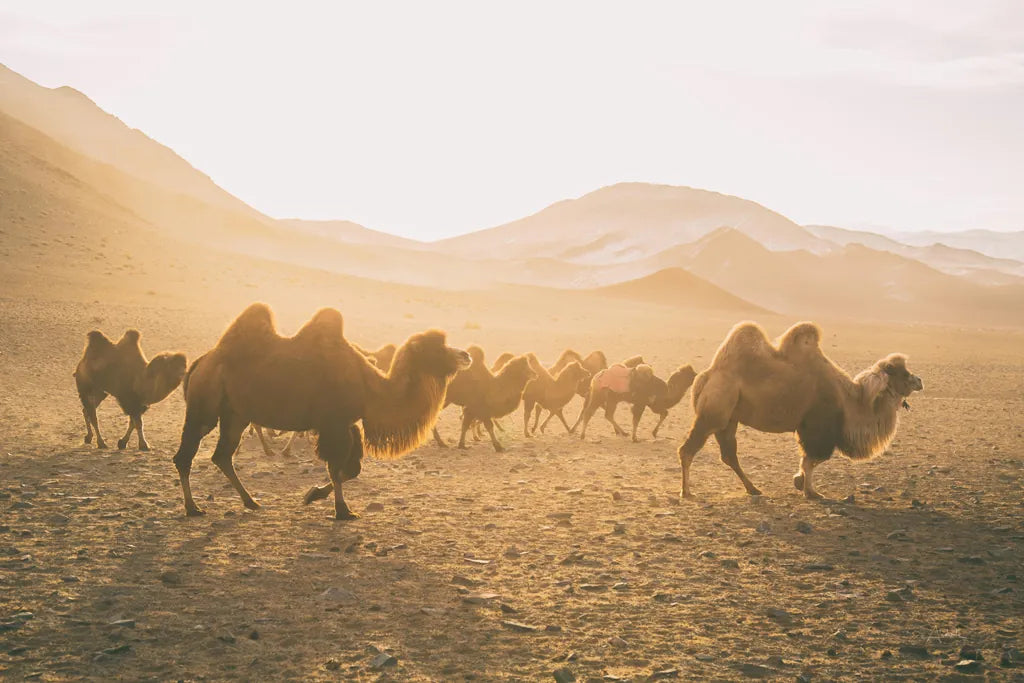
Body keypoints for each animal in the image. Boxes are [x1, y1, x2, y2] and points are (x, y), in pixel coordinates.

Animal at [173, 303, 470, 519]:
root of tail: (200, 362)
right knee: (186, 454)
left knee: (222, 455)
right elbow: (337, 468)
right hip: (205, 405)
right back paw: (193, 508)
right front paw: (342, 511)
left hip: (236, 414)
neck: (371, 388)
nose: (465, 355)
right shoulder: (334, 424)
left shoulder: (348, 425)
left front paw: (313, 494)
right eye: (438, 347)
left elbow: (351, 470)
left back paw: (251, 501)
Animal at [678, 321, 923, 500]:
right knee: (688, 450)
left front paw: (801, 483)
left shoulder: (812, 429)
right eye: (902, 372)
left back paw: (753, 489)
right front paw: (808, 489)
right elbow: (813, 459)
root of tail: (706, 376)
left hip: (730, 419)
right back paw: (687, 491)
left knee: (729, 454)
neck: (849, 401)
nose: (919, 380)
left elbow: (809, 459)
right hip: (713, 412)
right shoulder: (817, 427)